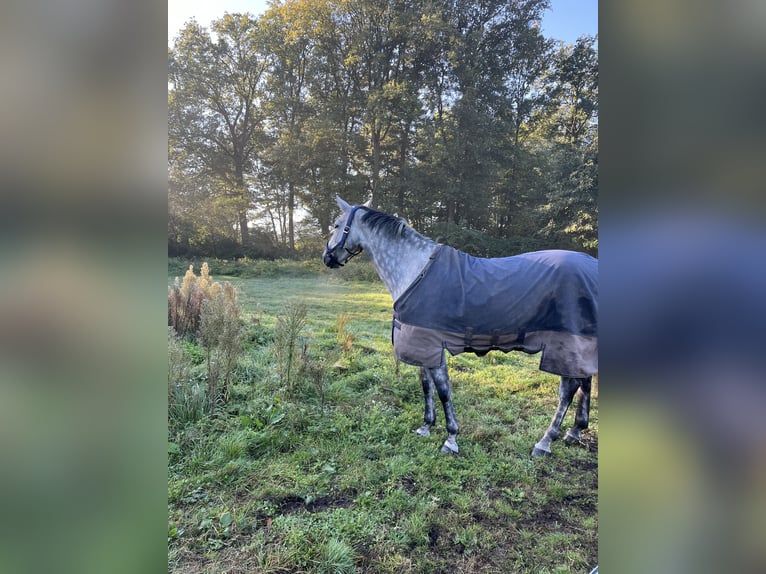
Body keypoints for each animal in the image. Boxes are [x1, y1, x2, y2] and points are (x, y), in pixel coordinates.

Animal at [320, 198, 596, 460]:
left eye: (336, 224)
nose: (327, 258)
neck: (416, 270)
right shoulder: (422, 344)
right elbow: (426, 385)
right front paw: (426, 426)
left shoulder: (433, 345)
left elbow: (443, 391)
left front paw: (451, 439)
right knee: (585, 380)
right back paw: (575, 431)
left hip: (565, 345)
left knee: (568, 389)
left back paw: (545, 442)